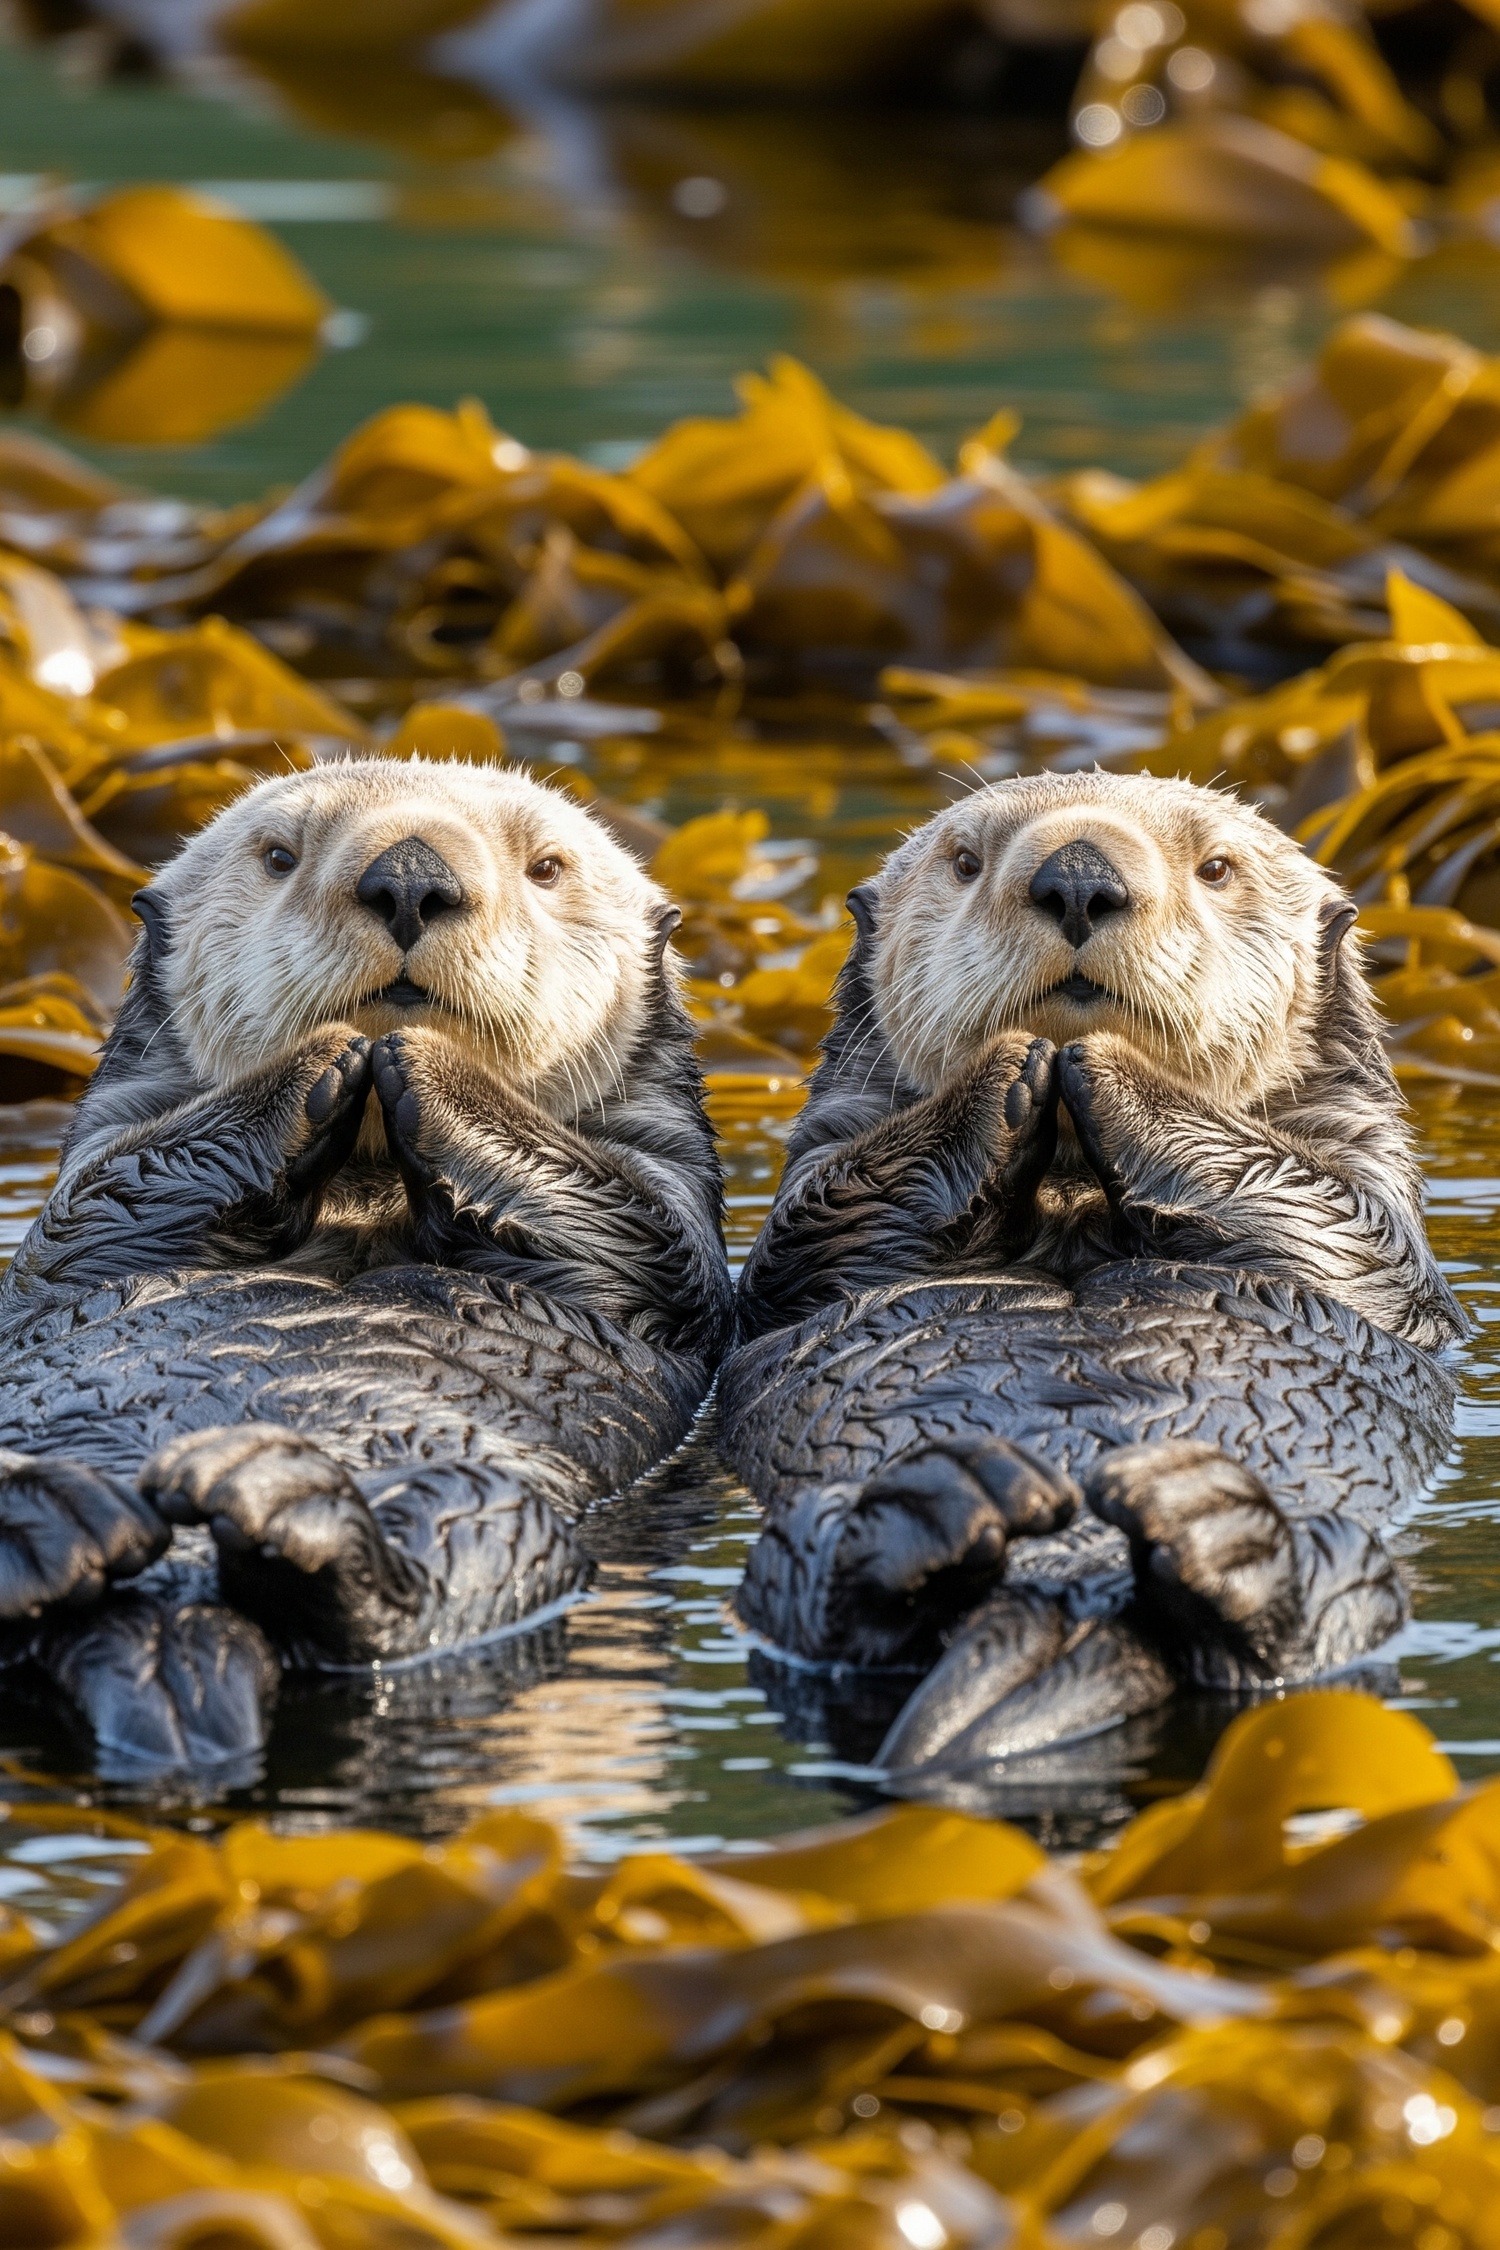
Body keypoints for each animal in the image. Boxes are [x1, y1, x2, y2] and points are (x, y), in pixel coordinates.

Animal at [0, 757, 731, 1771]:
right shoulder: (94, 1186)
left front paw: (423, 1059)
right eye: (277, 856)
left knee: (397, 1598)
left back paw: (272, 1504)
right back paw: (52, 1513)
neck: (368, 1190)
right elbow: (111, 1197)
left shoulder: (665, 1217)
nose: (411, 878)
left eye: (547, 867)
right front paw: (329, 1054)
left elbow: (623, 1221)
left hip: (488, 1517)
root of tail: (169, 1616)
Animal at [720, 770, 1462, 1781]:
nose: (1078, 878)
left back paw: (1209, 1523)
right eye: (964, 860)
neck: (1072, 1200)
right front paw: (1012, 1064)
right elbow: (834, 1217)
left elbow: (1322, 1215)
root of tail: (1069, 1590)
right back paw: (941, 1502)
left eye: (1217, 867)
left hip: (1351, 1568)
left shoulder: (1368, 1214)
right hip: (790, 1550)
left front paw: (1110, 1065)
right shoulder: (812, 1222)